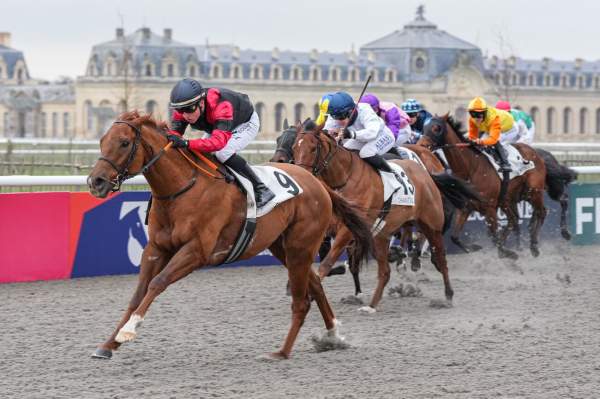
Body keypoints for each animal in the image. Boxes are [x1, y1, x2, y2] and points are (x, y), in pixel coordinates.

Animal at [86, 111, 372, 360]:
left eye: (124, 143)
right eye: (102, 141)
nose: (95, 182)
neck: (182, 188)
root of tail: (318, 183)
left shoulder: (196, 251)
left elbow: (158, 283)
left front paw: (128, 330)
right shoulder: (156, 249)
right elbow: (138, 294)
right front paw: (108, 345)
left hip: (300, 247)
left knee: (302, 301)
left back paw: (281, 352)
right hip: (283, 247)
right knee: (315, 284)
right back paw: (332, 335)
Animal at [290, 119, 478, 312]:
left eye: (313, 148)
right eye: (294, 148)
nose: (301, 175)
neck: (345, 177)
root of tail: (427, 174)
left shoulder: (349, 229)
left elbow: (327, 262)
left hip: (431, 225)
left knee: (440, 259)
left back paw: (447, 295)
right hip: (381, 234)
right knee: (385, 271)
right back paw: (372, 304)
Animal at [418, 115, 548, 260]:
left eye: (436, 128)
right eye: (424, 127)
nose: (421, 145)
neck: (471, 168)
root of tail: (535, 153)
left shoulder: (490, 207)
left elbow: (494, 237)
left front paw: (507, 252)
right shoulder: (465, 207)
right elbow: (454, 237)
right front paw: (474, 247)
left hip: (533, 191)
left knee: (541, 212)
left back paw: (534, 246)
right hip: (509, 198)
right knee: (513, 220)